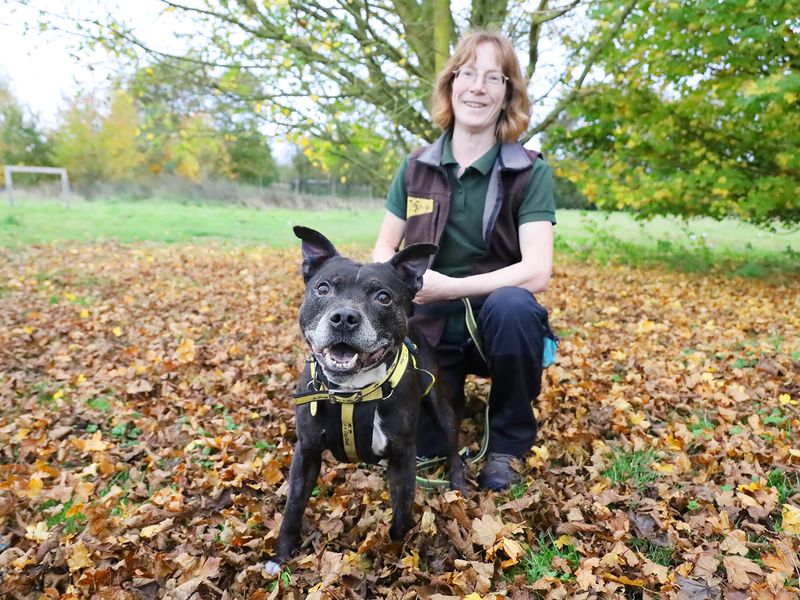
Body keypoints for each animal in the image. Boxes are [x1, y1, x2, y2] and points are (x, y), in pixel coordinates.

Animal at [266, 226, 466, 572]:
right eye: (323, 288)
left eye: (383, 297)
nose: (344, 317)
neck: (351, 392)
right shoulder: (306, 452)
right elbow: (292, 508)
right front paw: (281, 556)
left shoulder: (403, 457)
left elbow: (401, 513)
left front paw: (396, 554)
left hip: (439, 404)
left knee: (452, 444)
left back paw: (458, 481)